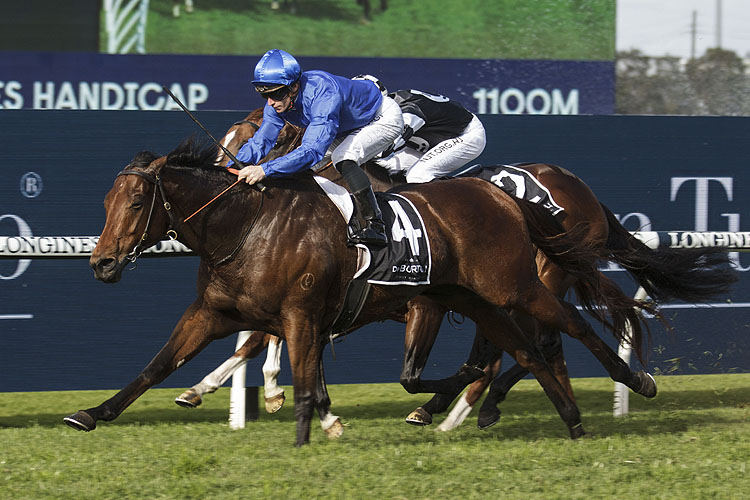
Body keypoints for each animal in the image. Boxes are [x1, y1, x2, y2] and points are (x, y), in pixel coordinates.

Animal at [64, 138, 664, 446]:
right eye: (106, 203)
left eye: (136, 203)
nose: (102, 263)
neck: (246, 224)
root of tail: (503, 196)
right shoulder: (215, 311)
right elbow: (159, 366)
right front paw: (92, 413)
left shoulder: (306, 311)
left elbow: (309, 372)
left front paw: (306, 422)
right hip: (479, 298)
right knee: (529, 350)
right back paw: (563, 418)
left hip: (515, 285)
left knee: (566, 327)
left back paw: (633, 380)